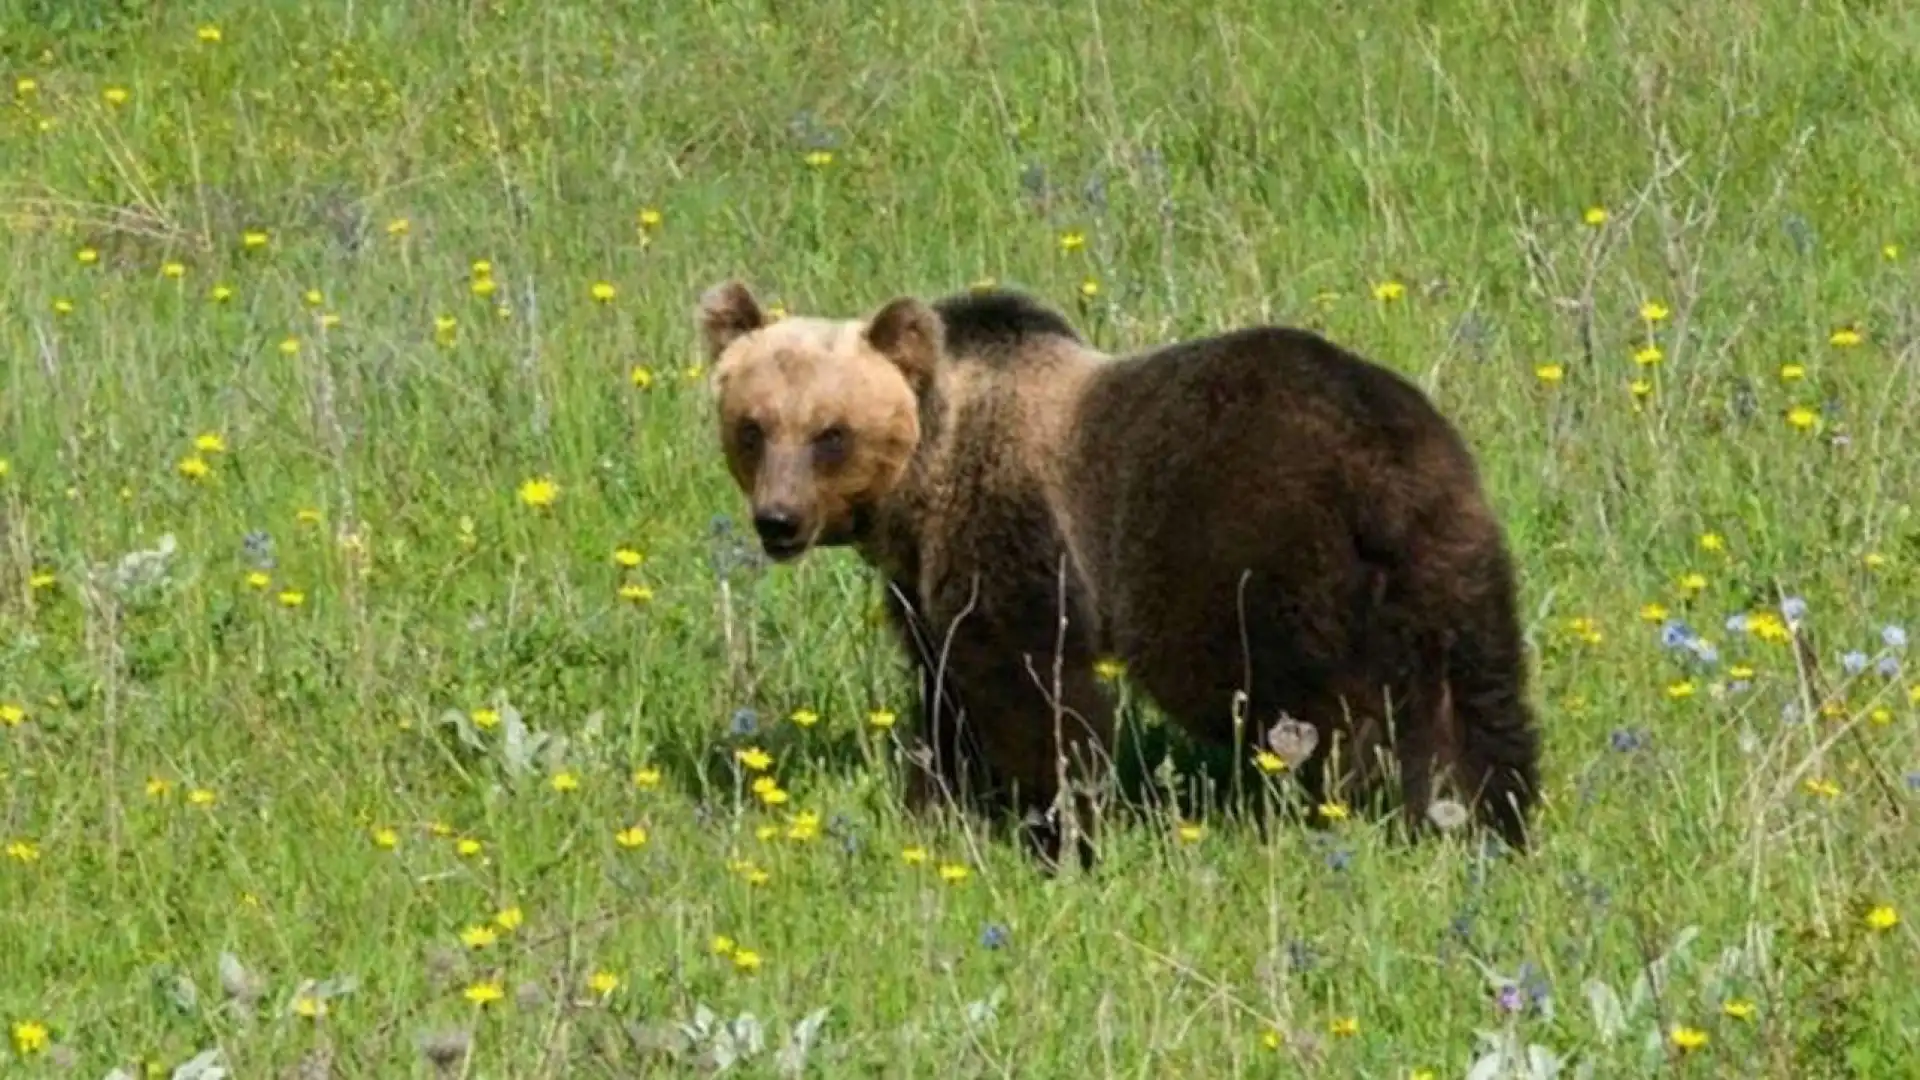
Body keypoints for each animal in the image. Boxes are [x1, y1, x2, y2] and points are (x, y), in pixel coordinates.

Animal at [698, 278, 1536, 864]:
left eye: (831, 433)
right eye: (753, 427)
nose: (778, 520)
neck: (926, 479)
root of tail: (1385, 464)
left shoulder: (1013, 531)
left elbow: (1032, 689)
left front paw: (1059, 829)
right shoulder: (923, 584)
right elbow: (943, 693)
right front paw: (936, 804)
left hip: (1244, 551)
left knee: (1309, 699)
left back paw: (1349, 803)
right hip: (1450, 549)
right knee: (1478, 697)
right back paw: (1488, 817)